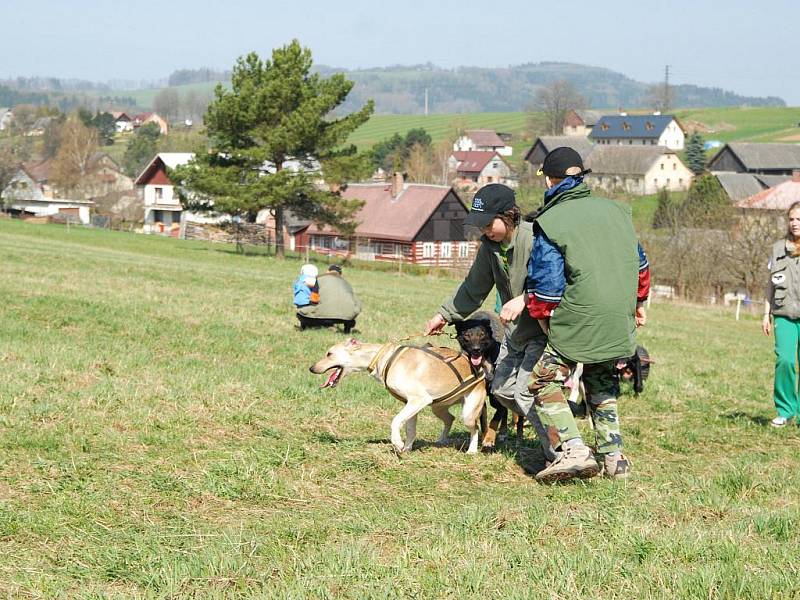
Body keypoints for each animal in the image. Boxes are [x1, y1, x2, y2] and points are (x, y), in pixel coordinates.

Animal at [310, 338, 488, 454]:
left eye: (329, 354)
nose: (311, 368)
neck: (382, 357)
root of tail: (481, 373)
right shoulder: (411, 404)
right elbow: (410, 430)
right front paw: (406, 449)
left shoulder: (418, 400)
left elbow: (395, 421)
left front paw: (397, 443)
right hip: (438, 407)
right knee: (450, 419)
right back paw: (441, 440)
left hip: (468, 413)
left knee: (475, 428)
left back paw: (472, 450)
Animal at [450, 314, 520, 450]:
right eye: (467, 335)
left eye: (482, 334)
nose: (476, 349)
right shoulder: (481, 398)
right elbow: (484, 421)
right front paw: (484, 437)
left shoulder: (497, 394)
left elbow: (495, 418)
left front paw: (489, 439)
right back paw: (503, 432)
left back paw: (517, 434)